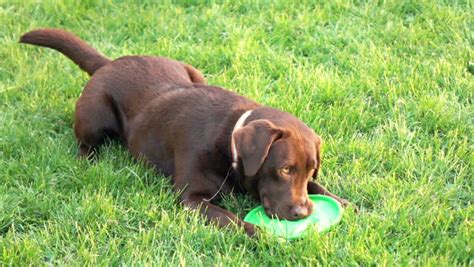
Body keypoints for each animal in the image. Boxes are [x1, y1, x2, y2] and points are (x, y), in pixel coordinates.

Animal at [20, 28, 350, 237]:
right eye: (284, 170)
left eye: (311, 170)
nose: (304, 213)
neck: (229, 142)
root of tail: (110, 62)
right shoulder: (191, 199)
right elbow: (233, 221)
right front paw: (265, 236)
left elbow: (321, 190)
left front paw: (345, 203)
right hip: (95, 112)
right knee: (85, 143)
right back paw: (87, 160)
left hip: (193, 72)